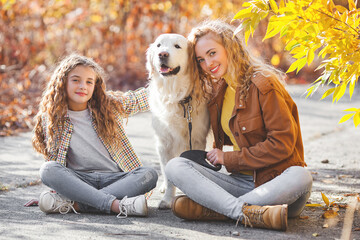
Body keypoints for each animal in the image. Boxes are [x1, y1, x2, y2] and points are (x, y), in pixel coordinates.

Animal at [145, 33, 210, 208]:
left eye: (177, 46)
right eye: (159, 45)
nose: (162, 54)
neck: (175, 95)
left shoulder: (196, 140)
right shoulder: (164, 143)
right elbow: (168, 174)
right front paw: (167, 200)